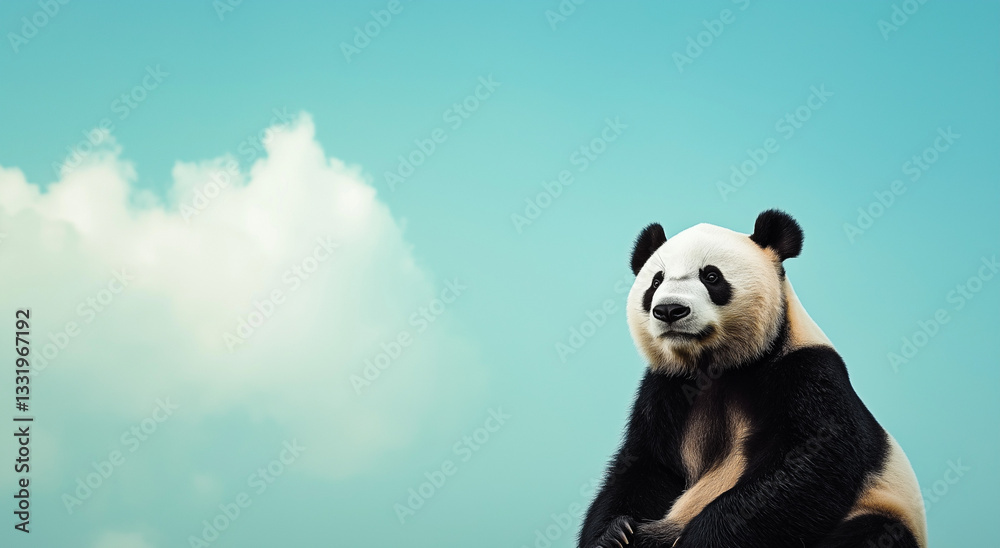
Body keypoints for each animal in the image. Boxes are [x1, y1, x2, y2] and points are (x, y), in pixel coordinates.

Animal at [579, 210, 926, 548]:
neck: (718, 366)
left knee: (873, 532)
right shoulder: (667, 387)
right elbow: (646, 464)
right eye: (655, 281)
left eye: (711, 276)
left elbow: (810, 464)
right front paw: (613, 535)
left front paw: (700, 539)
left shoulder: (807, 373)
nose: (669, 310)